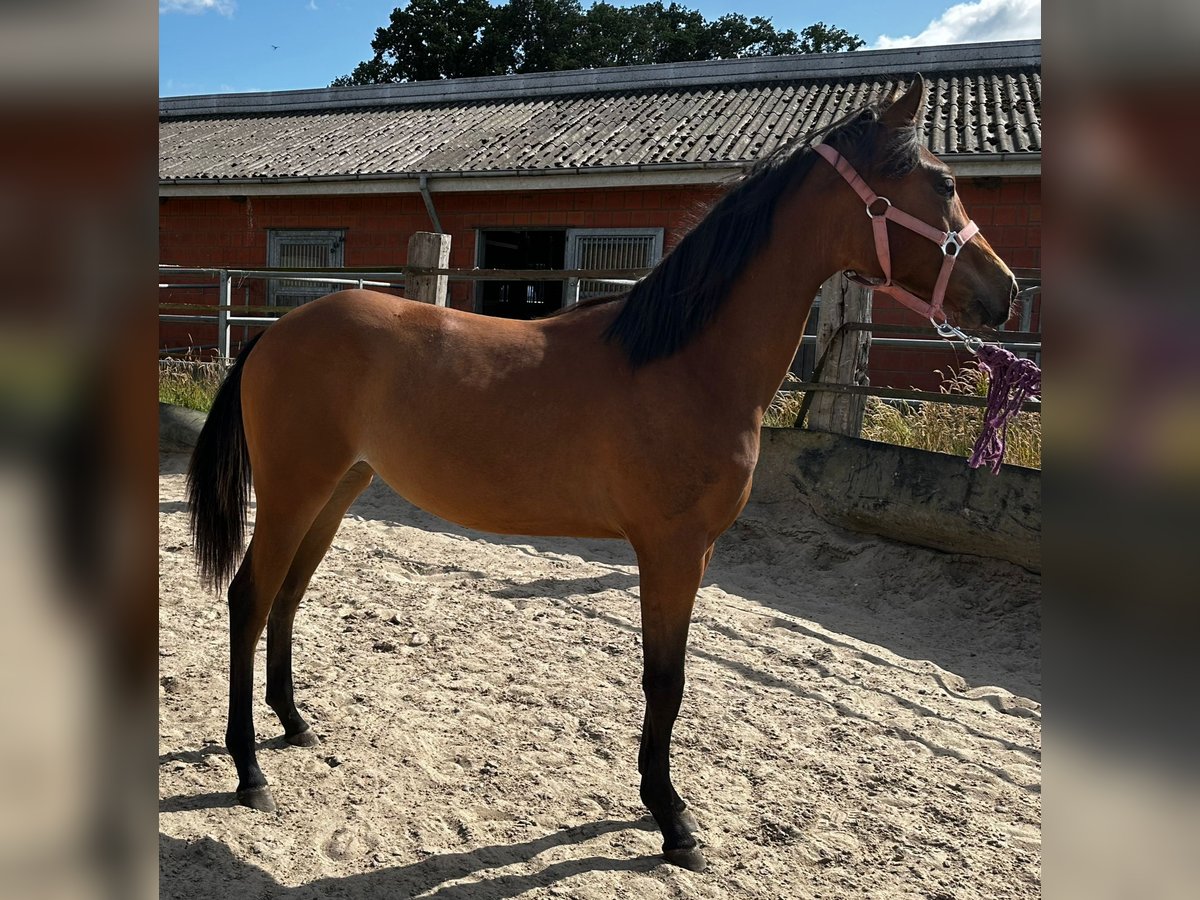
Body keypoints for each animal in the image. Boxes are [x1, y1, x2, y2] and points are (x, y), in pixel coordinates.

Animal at [186, 75, 1017, 872]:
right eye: (944, 182)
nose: (1006, 292)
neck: (684, 363)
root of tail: (274, 335)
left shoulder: (692, 552)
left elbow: (667, 678)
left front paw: (661, 807)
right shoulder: (673, 550)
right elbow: (665, 680)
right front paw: (672, 820)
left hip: (337, 490)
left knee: (288, 596)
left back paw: (295, 724)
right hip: (295, 491)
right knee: (250, 598)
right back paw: (249, 770)